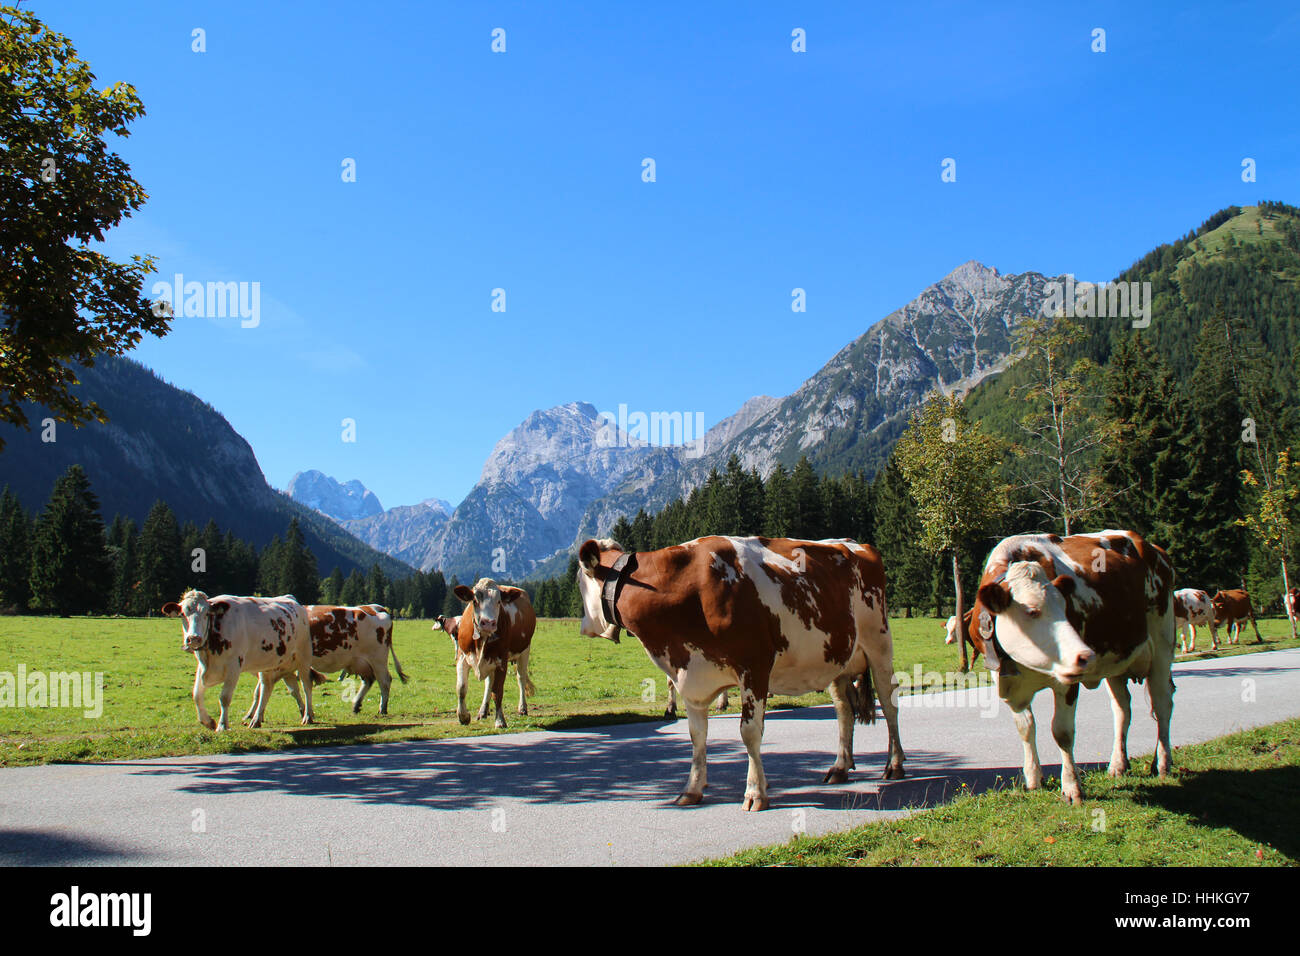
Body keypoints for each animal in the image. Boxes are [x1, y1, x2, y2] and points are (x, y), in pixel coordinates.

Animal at [163, 590, 313, 733]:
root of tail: (291, 599)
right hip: (268, 663)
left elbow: (224, 697)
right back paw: (256, 719)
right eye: (183, 614)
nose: (194, 638)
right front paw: (208, 721)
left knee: (306, 686)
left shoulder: (234, 666)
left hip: (303, 657)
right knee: (266, 688)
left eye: (206, 614)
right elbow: (196, 695)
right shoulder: (203, 667)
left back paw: (308, 716)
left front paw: (222, 725)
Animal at [244, 606, 405, 717]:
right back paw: (356, 704)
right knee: (369, 680)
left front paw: (251, 715)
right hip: (360, 662)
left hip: (377, 659)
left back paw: (382, 708)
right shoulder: (284, 669)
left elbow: (260, 691)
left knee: (385, 681)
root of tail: (373, 608)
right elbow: (290, 690)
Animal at [436, 580, 538, 728]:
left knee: (521, 678)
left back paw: (522, 708)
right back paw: (483, 711)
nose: (488, 623)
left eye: (499, 602)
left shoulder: (501, 661)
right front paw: (463, 716)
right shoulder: (462, 657)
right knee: (489, 682)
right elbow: (461, 688)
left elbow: (498, 692)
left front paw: (500, 720)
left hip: (525, 650)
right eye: (474, 601)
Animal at [579, 535, 904, 811]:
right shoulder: (691, 676)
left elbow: (749, 732)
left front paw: (755, 793)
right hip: (837, 659)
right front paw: (691, 790)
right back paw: (839, 767)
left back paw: (895, 765)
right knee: (844, 711)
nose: (584, 626)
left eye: (580, 582)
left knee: (889, 704)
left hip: (879, 643)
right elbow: (697, 735)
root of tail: (856, 543)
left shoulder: (754, 667)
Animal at [977, 530, 1180, 806]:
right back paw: (1118, 764)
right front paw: (1033, 779)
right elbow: (1026, 728)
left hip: (1162, 646)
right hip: (1117, 662)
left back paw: (1163, 764)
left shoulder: (1067, 682)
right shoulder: (1008, 684)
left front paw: (1072, 788)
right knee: (1122, 709)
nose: (1085, 656)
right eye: (1031, 610)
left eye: (1066, 609)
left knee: (1162, 705)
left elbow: (1062, 732)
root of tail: (1151, 546)